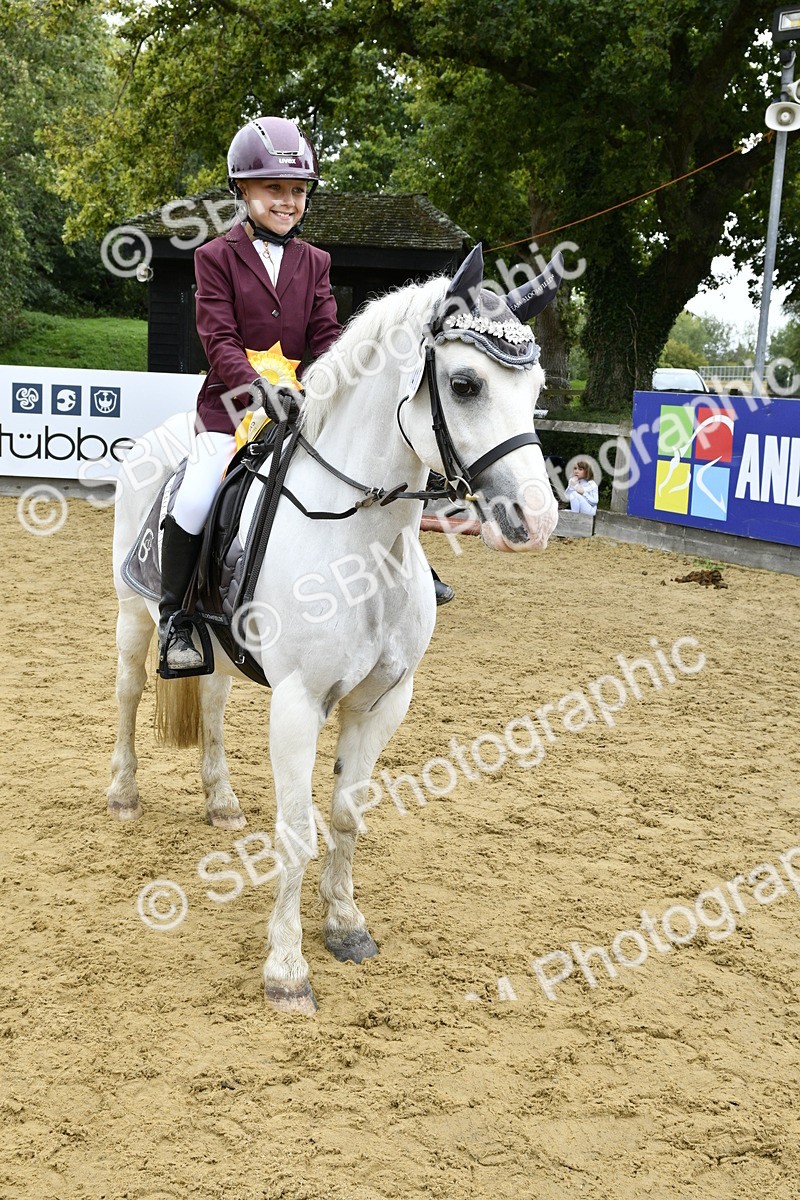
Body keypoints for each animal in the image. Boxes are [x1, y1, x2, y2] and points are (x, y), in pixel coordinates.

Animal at [107, 243, 562, 1014]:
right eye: (465, 384)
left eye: (535, 392)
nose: (536, 519)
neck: (364, 544)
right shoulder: (298, 703)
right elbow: (295, 830)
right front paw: (286, 968)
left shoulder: (382, 702)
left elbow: (347, 815)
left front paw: (346, 925)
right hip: (133, 616)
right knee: (130, 694)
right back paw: (123, 793)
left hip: (219, 647)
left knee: (214, 704)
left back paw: (221, 801)